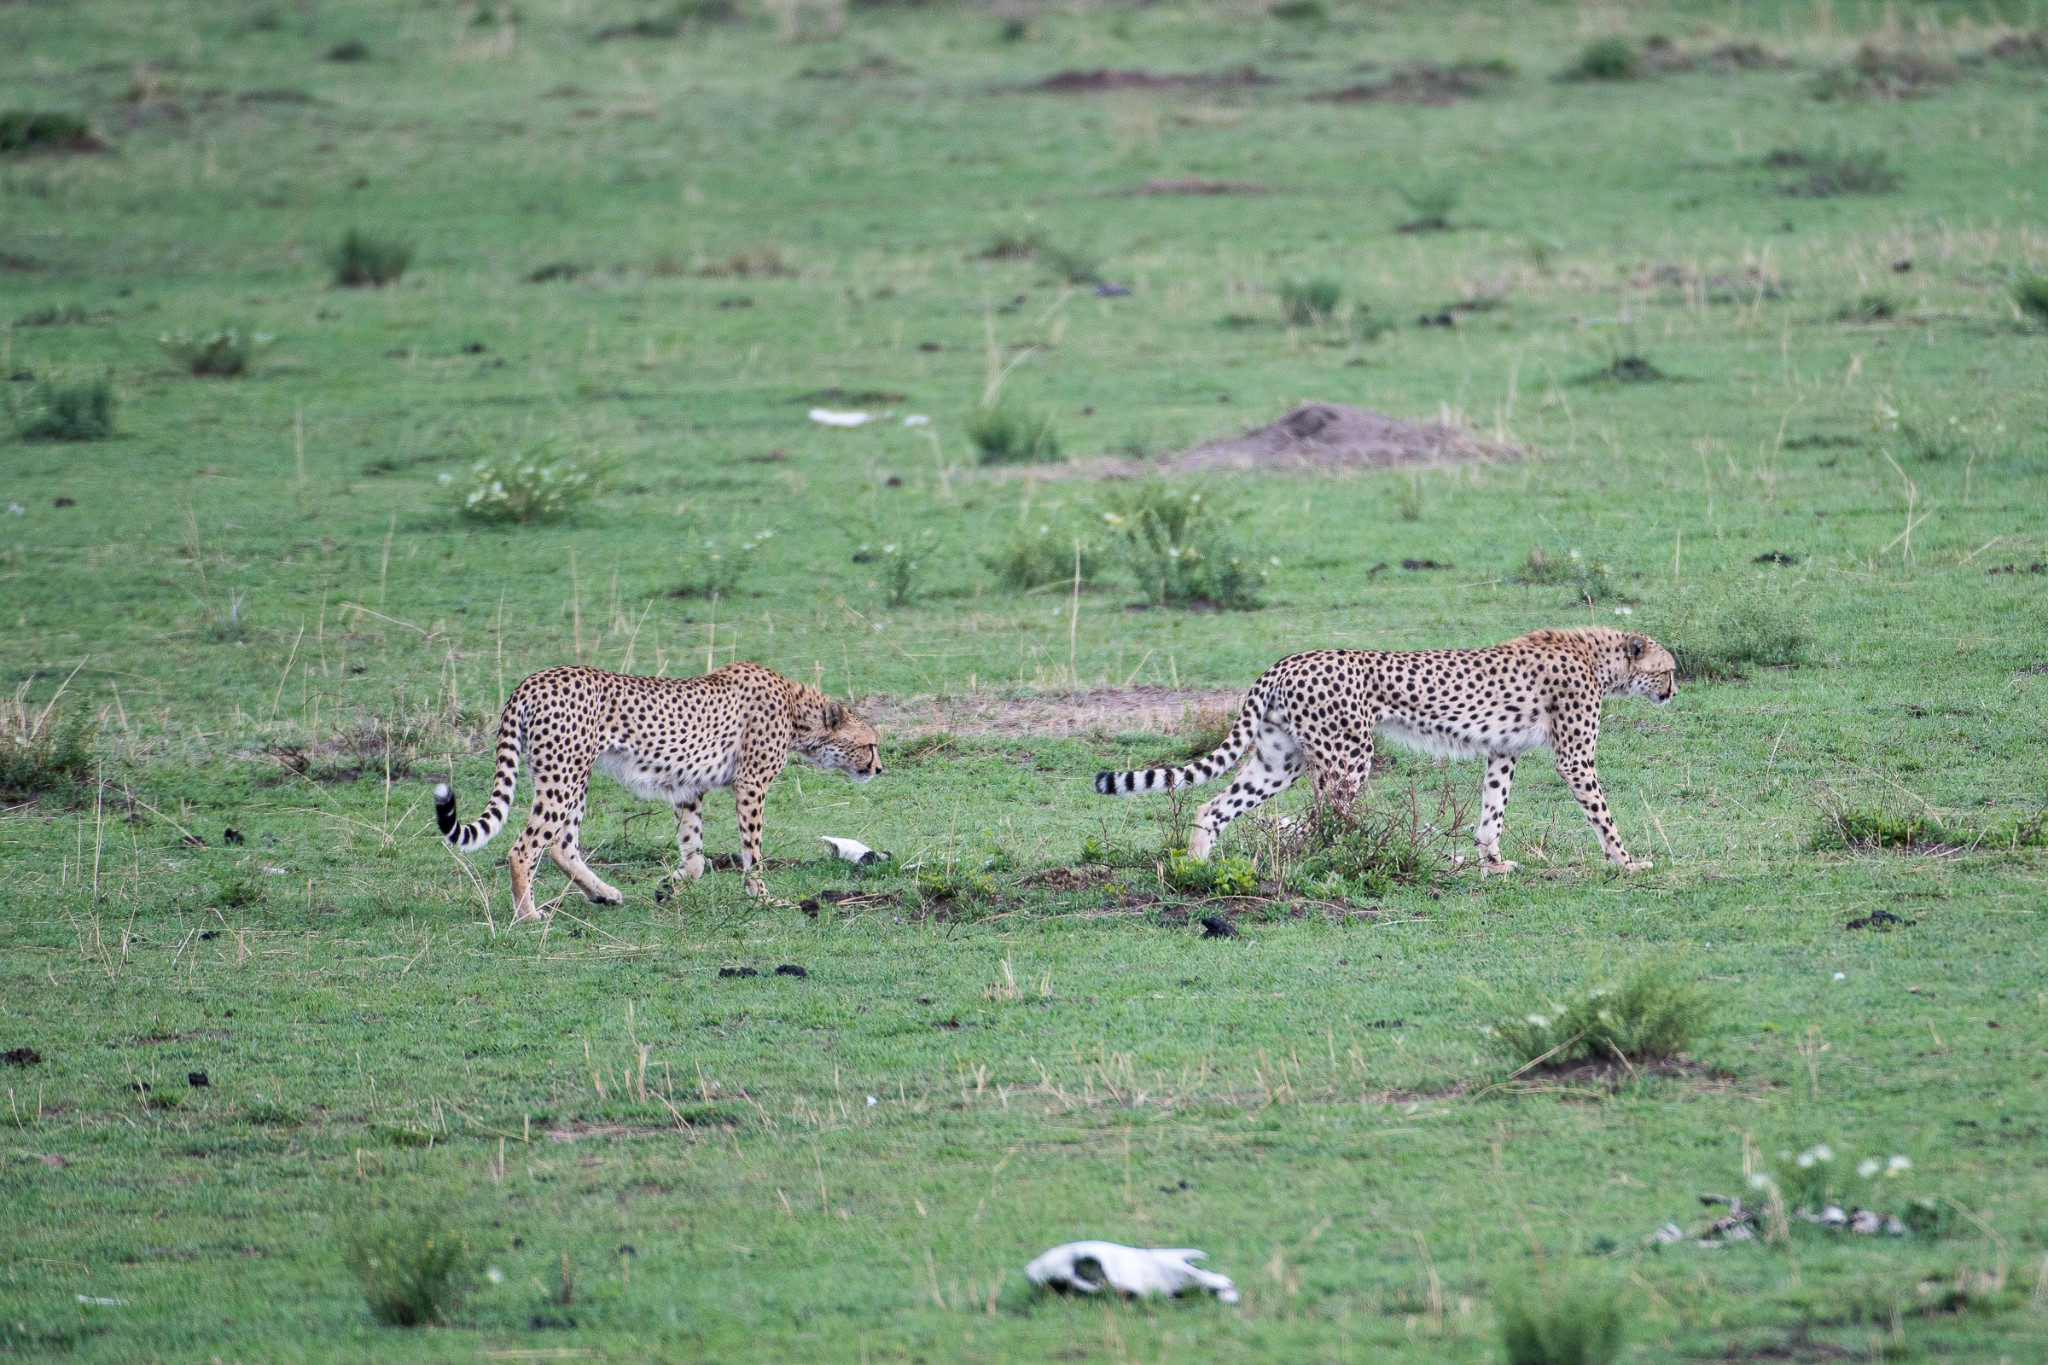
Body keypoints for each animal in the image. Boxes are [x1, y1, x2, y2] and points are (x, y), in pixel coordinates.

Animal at [432, 658, 880, 925]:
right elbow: (752, 852)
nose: (879, 768)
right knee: (524, 848)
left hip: (573, 776)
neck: (795, 708)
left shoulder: (687, 788)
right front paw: (763, 898)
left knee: (561, 844)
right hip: (563, 776)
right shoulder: (751, 784)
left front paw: (669, 887)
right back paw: (528, 915)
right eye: (871, 744)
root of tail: (534, 678)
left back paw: (604, 894)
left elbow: (696, 857)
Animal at [1097, 630, 1671, 875]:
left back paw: (1196, 866)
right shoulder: (1573, 757)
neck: (1599, 656)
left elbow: (1493, 810)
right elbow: (1602, 814)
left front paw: (1492, 862)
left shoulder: (1502, 749)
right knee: (1321, 821)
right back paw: (1337, 855)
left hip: (1280, 760)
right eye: (1667, 670)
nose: (1673, 691)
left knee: (1214, 805)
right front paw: (1627, 861)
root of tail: (1287, 661)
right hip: (1349, 757)